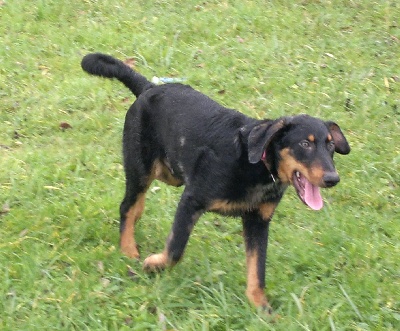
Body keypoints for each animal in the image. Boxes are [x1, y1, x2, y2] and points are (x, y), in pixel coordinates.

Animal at [81, 53, 350, 312]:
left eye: (330, 146)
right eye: (305, 144)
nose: (332, 179)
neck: (256, 166)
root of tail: (148, 88)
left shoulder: (258, 220)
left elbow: (257, 269)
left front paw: (260, 307)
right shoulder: (191, 199)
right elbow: (175, 248)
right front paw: (154, 264)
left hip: (169, 171)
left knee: (136, 203)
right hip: (142, 166)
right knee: (127, 205)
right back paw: (128, 249)